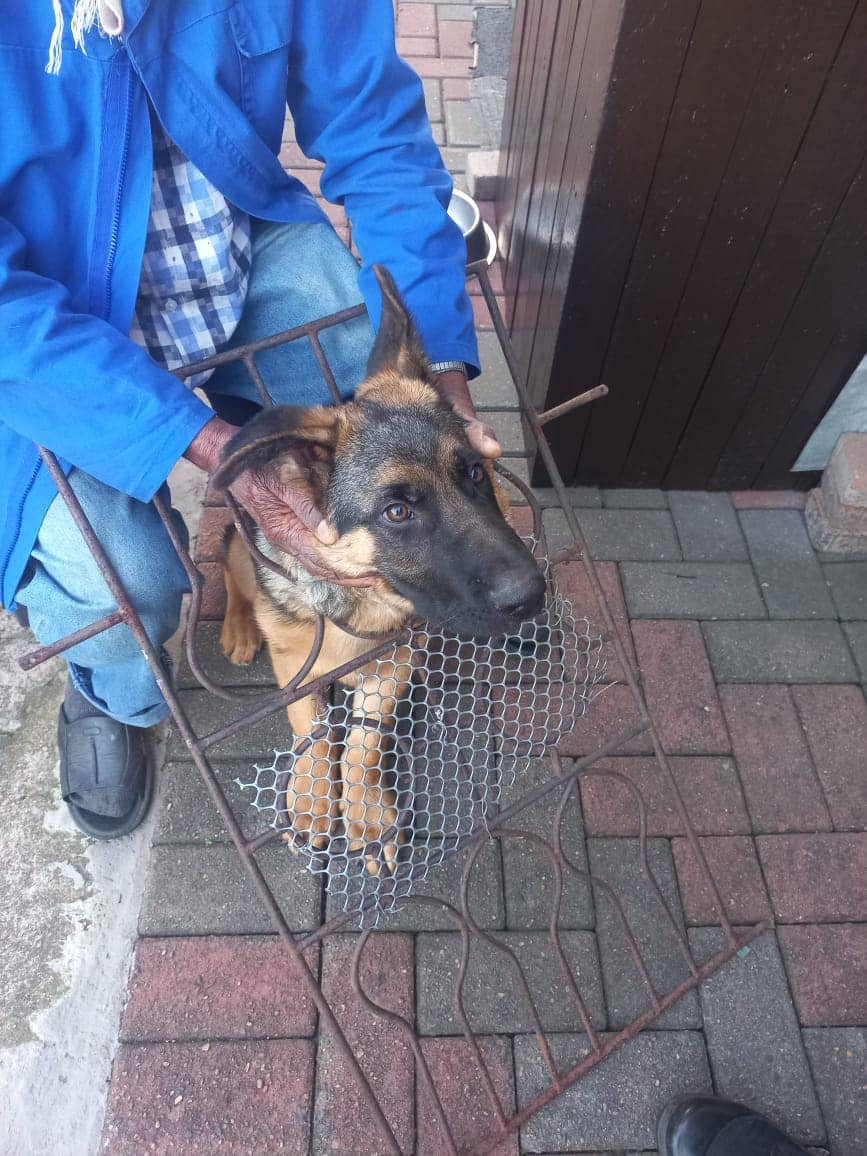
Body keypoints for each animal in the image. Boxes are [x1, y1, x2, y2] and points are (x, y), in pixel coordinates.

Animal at [216, 265, 543, 869]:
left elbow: (363, 744)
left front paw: (367, 818)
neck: (364, 607)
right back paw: (239, 627)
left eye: (474, 474)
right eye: (396, 511)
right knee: (230, 567)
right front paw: (313, 801)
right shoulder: (296, 666)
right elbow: (313, 731)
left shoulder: (395, 666)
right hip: (242, 554)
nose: (532, 595)